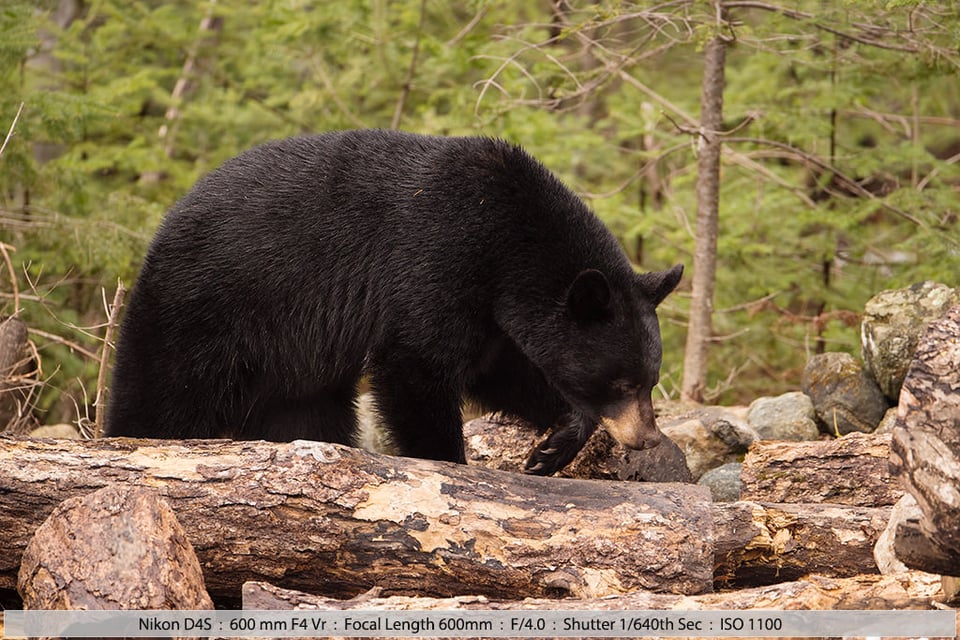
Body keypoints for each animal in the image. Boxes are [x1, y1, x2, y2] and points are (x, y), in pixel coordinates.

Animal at [109, 130, 684, 476]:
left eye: (650, 380)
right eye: (623, 382)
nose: (647, 439)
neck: (507, 239)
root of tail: (165, 224)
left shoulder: (490, 311)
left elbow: (500, 372)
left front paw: (553, 445)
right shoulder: (437, 258)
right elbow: (417, 365)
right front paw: (449, 464)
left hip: (295, 369)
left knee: (305, 419)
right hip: (207, 306)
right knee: (162, 393)